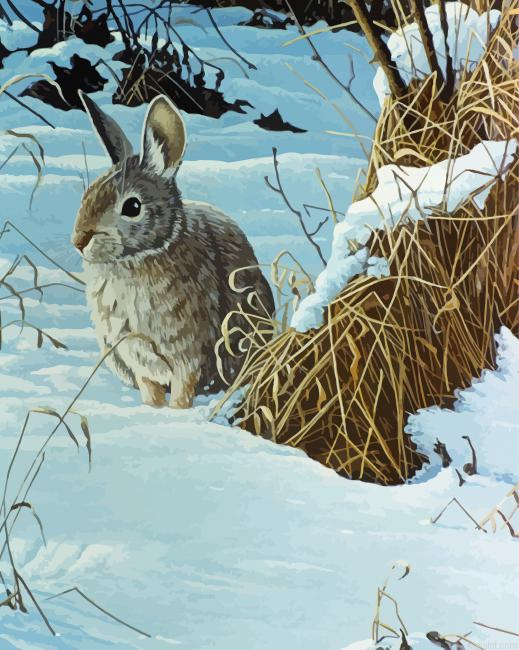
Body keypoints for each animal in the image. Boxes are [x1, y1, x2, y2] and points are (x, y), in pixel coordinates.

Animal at [72, 92, 274, 409]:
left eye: (133, 206)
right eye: (87, 193)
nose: (79, 240)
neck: (144, 255)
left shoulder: (188, 355)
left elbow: (183, 391)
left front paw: (177, 413)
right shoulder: (136, 355)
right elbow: (150, 390)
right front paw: (152, 410)